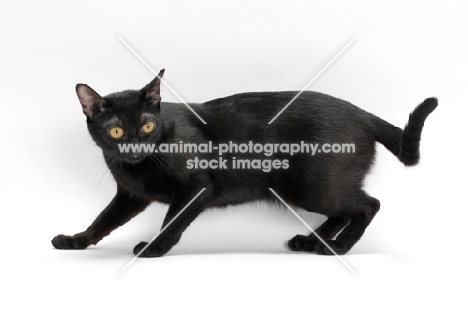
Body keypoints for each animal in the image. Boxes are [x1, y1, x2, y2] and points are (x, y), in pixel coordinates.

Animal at [52, 69, 438, 258]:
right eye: (116, 131)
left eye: (147, 126)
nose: (134, 146)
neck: (142, 162)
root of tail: (363, 114)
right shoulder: (130, 195)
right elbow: (102, 222)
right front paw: (75, 241)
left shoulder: (197, 187)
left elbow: (171, 221)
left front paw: (154, 249)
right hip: (309, 189)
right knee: (345, 212)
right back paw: (313, 242)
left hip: (312, 188)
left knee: (368, 205)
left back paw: (337, 248)